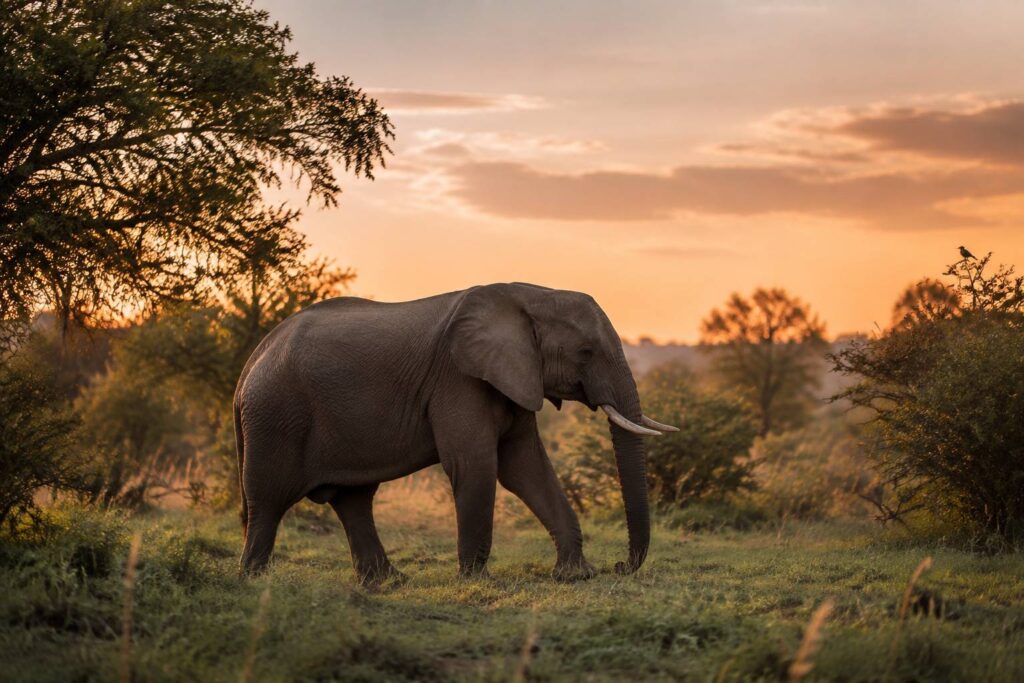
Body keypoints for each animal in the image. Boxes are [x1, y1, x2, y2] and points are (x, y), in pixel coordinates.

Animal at [234, 282, 677, 585]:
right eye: (585, 353)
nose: (619, 566)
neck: (530, 294)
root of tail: (251, 361)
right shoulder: (458, 379)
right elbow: (477, 464)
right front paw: (477, 580)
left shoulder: (514, 376)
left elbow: (526, 468)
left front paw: (575, 575)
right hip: (275, 415)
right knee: (268, 500)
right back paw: (254, 580)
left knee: (353, 499)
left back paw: (389, 582)